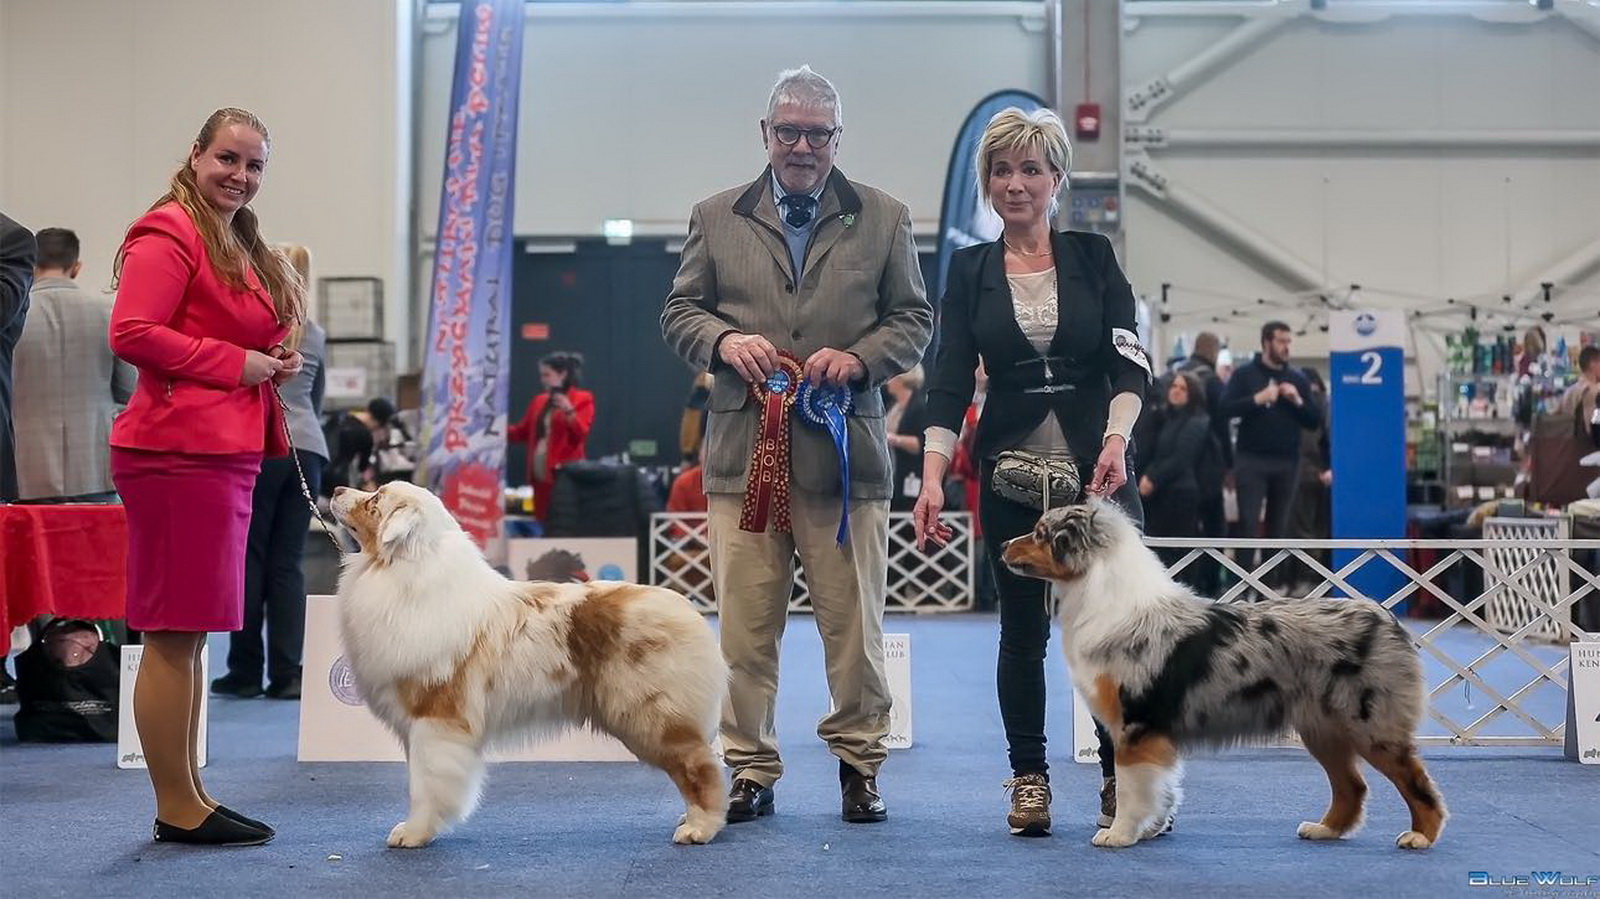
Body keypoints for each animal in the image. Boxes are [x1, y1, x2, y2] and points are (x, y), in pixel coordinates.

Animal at [330, 482, 729, 848]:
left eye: (375, 500)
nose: (335, 489)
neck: (401, 572)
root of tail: (687, 610)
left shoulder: (434, 719)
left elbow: (425, 785)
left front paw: (414, 833)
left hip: (651, 717)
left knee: (701, 766)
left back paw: (700, 827)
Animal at [1000, 501, 1447, 850]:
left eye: (1040, 533)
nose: (1003, 545)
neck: (1101, 593)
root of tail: (1386, 618)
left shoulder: (1136, 724)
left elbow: (1131, 787)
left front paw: (1121, 834)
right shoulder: (1148, 732)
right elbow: (1159, 787)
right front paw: (1151, 828)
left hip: (1370, 726)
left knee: (1416, 781)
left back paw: (1420, 836)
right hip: (1323, 729)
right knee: (1352, 786)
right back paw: (1324, 829)